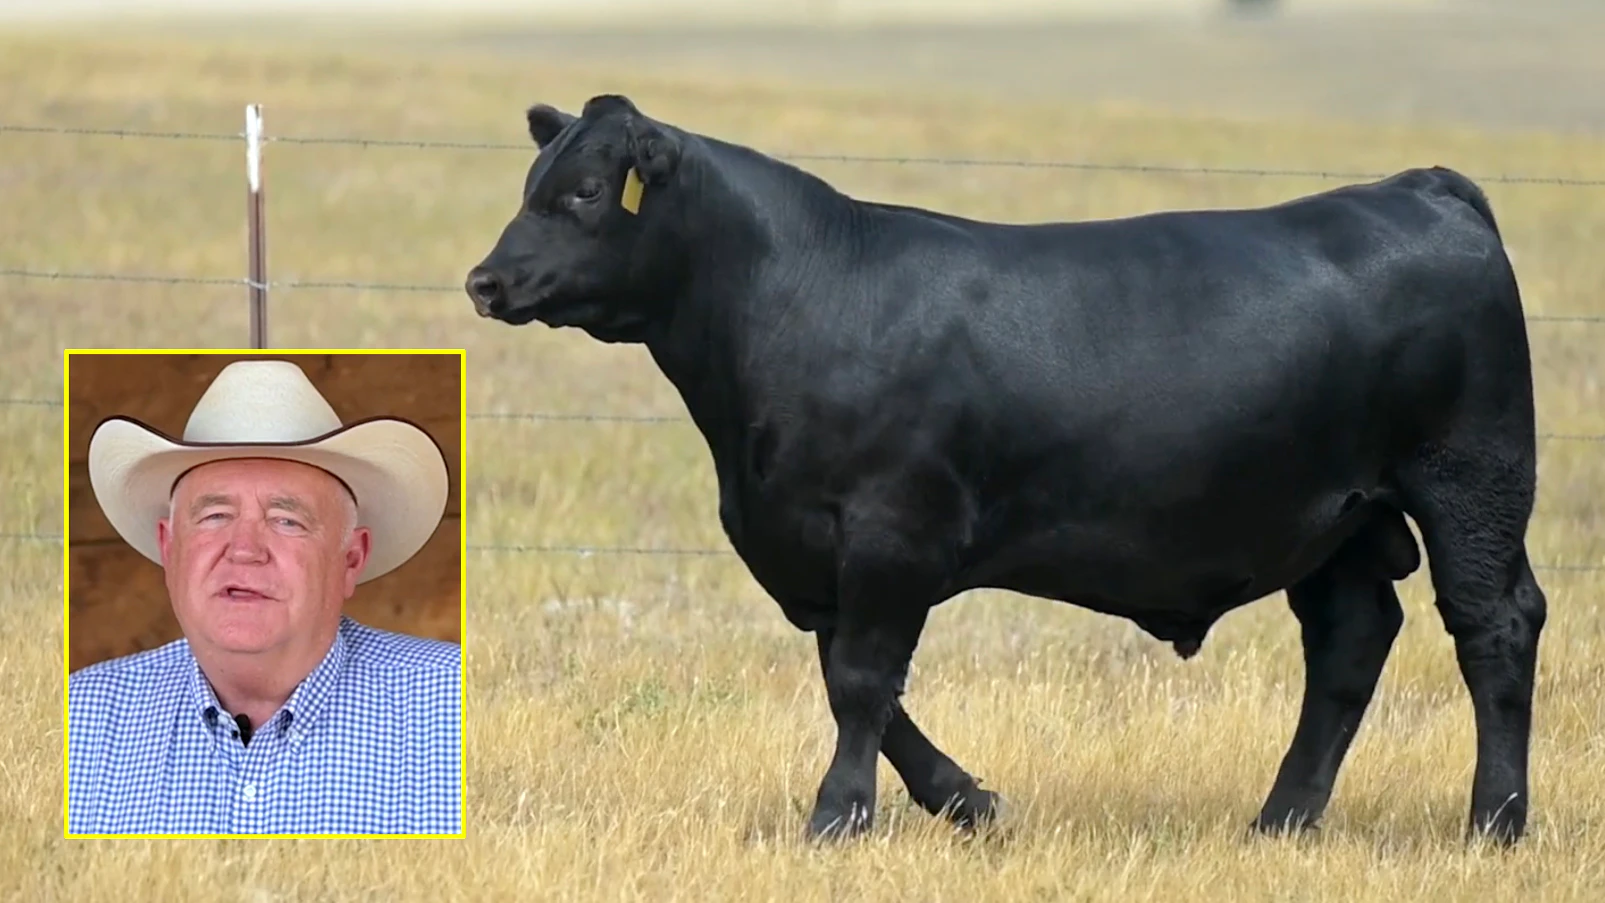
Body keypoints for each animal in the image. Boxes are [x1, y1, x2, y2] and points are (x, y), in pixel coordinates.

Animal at [464, 93, 1547, 847]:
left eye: (585, 193)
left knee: (1493, 625)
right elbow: (863, 684)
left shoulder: (893, 531)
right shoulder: (807, 547)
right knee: (1349, 641)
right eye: (527, 189)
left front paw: (837, 817)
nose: (486, 279)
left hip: (1470, 480)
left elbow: (860, 681)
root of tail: (1417, 187)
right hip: (1337, 519)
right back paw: (1281, 819)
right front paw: (966, 802)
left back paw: (1493, 822)